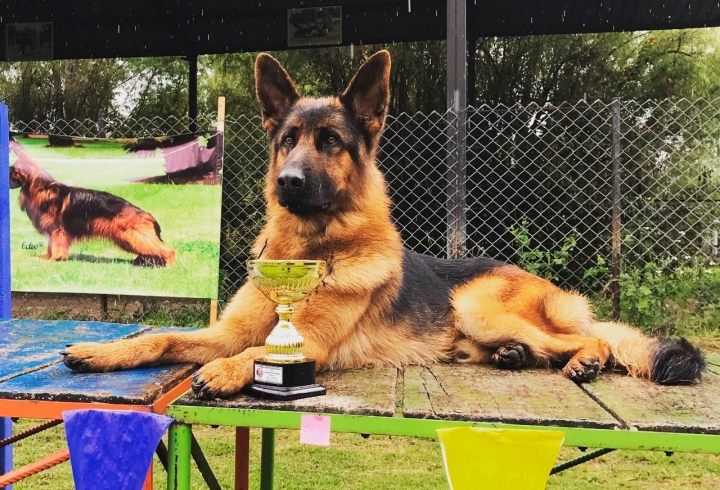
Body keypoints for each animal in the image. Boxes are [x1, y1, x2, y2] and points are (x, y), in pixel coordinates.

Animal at [10, 146, 176, 266]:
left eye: (11, 173)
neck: (42, 188)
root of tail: (148, 215)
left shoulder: (57, 231)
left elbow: (56, 247)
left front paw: (54, 260)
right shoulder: (53, 231)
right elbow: (50, 247)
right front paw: (46, 258)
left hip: (134, 237)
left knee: (168, 251)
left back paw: (170, 265)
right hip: (127, 239)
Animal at [62, 51, 704, 400]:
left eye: (330, 142)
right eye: (287, 139)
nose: (289, 182)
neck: (314, 247)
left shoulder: (306, 344)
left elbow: (254, 353)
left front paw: (223, 371)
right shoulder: (224, 330)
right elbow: (165, 339)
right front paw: (103, 352)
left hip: (478, 305)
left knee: (597, 337)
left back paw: (582, 359)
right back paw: (515, 357)